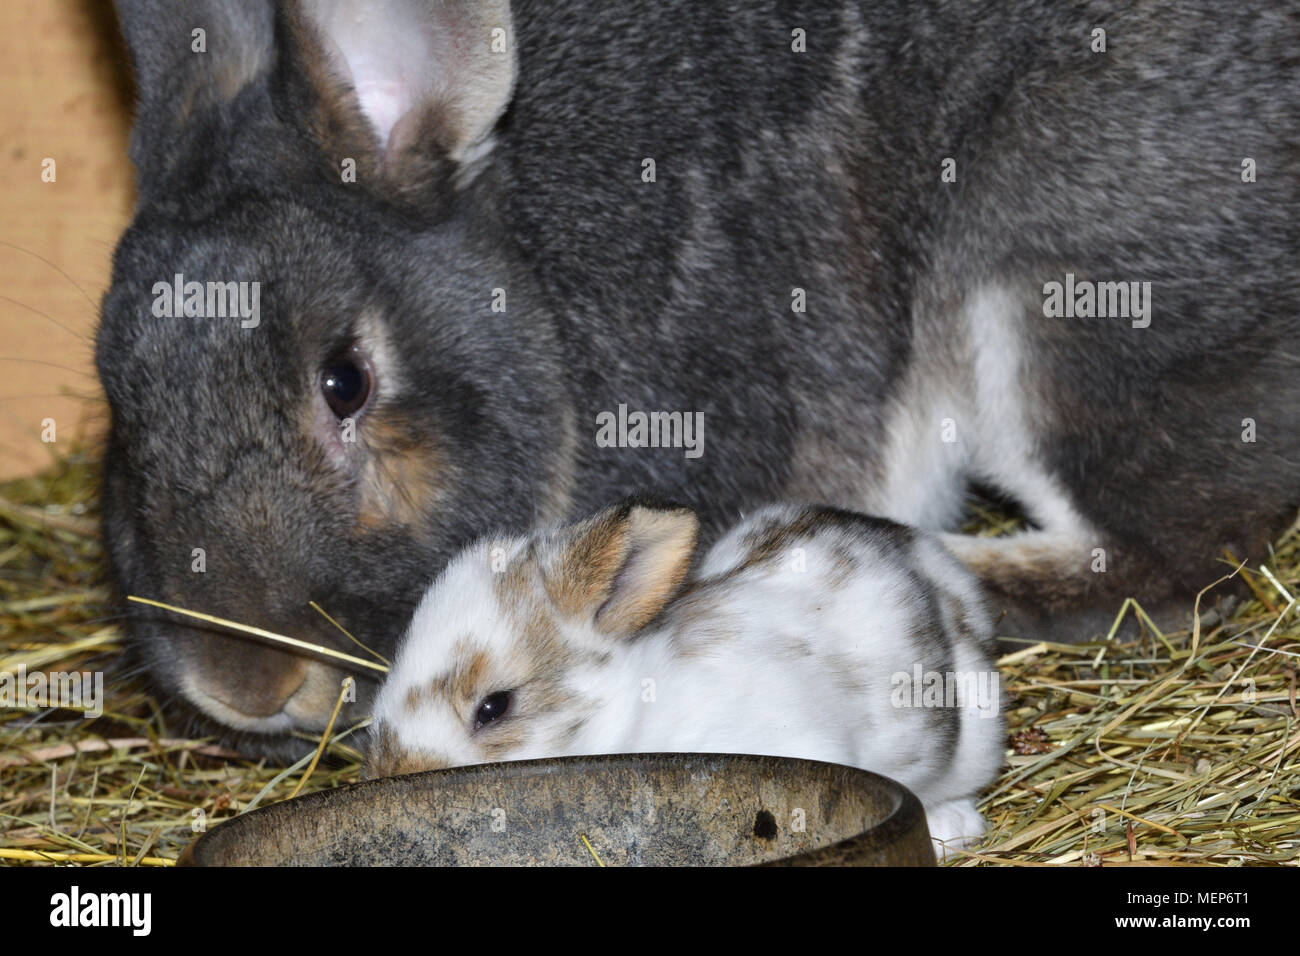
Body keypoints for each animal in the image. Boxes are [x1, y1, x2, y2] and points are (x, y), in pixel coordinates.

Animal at [98, 0, 1300, 754]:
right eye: (119, 398)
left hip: (1052, 293)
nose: (241, 684)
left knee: (1164, 559)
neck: (536, 290)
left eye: (345, 380)